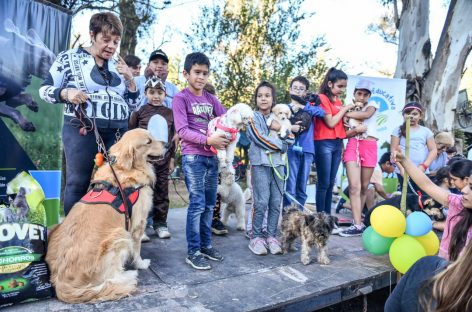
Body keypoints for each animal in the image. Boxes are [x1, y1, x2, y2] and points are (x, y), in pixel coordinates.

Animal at [46, 129, 164, 302]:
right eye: (148, 142)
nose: (168, 144)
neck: (126, 169)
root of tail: (61, 283)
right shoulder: (137, 225)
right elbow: (137, 250)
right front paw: (141, 264)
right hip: (119, 235)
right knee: (110, 278)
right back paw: (128, 276)